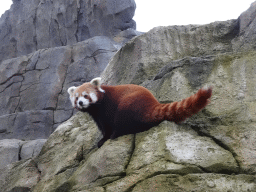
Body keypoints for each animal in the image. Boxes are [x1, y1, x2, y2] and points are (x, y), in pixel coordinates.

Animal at [67, 77, 212, 148]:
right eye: (76, 98)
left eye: (85, 96)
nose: (80, 103)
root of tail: (152, 103)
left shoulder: (106, 108)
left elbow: (107, 127)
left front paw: (104, 139)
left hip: (129, 104)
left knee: (122, 122)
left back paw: (115, 134)